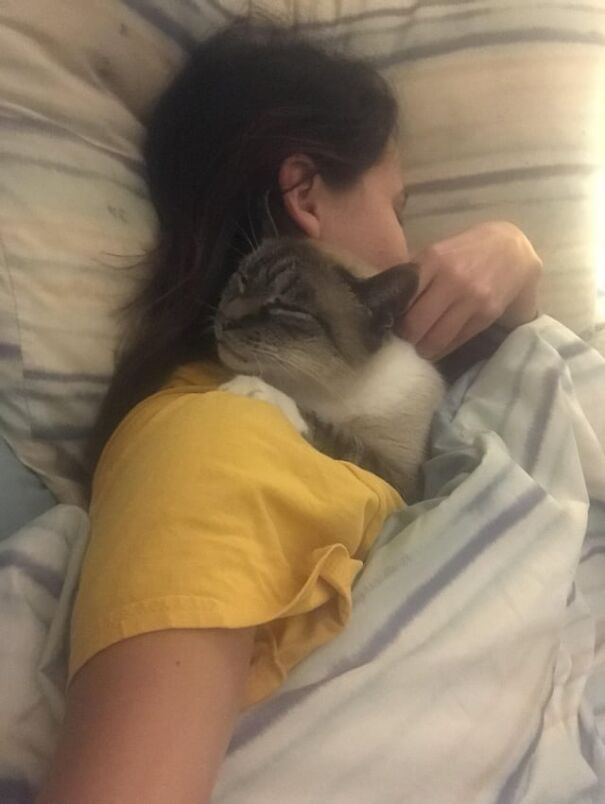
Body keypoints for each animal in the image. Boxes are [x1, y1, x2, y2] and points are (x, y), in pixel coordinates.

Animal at [212, 237, 444, 502]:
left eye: (288, 309)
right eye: (243, 279)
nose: (224, 319)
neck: (334, 386)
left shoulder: (403, 483)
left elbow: (330, 432)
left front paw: (252, 388)